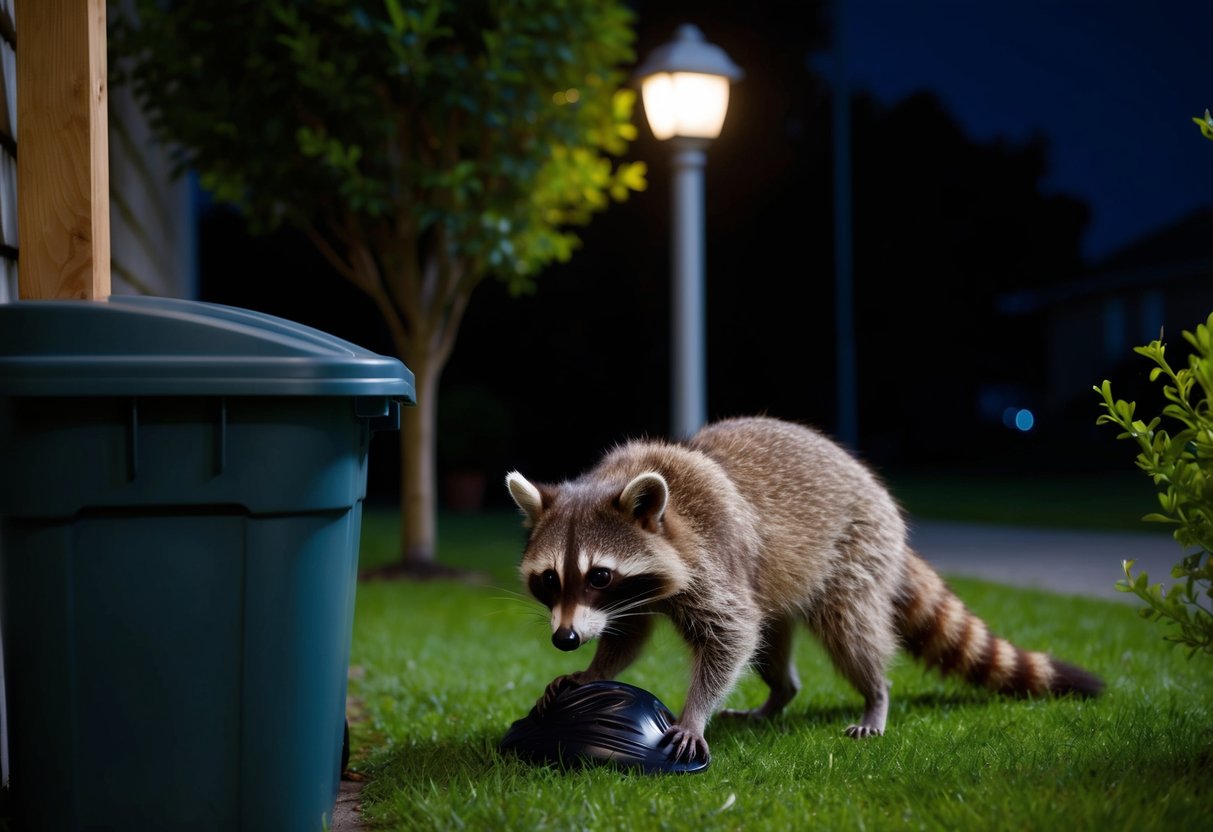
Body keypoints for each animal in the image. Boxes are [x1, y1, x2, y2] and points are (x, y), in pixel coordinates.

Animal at [505, 415, 1103, 763]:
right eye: (550, 579)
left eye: (599, 575)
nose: (564, 639)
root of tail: (883, 502)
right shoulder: (635, 596)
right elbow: (629, 637)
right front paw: (592, 671)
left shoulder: (713, 557)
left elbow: (730, 635)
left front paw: (693, 712)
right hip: (780, 582)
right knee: (770, 642)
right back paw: (779, 695)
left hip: (854, 551)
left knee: (849, 632)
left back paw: (875, 696)